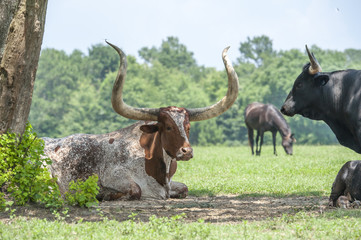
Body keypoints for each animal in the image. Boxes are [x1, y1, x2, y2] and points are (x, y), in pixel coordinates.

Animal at [43, 41, 239, 201]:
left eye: (188, 127)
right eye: (168, 127)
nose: (187, 151)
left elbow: (185, 188)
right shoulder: (113, 174)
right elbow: (135, 190)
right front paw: (103, 194)